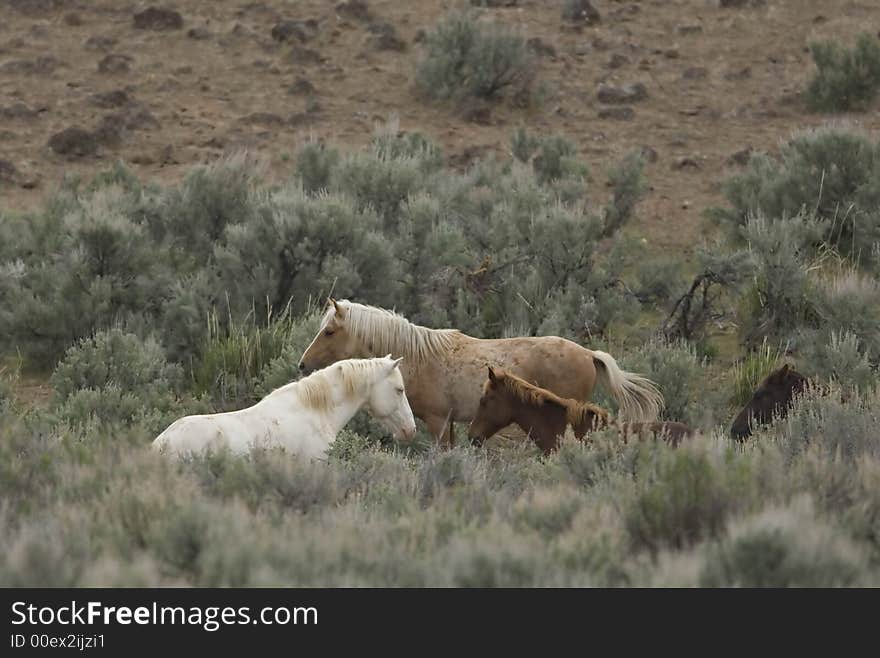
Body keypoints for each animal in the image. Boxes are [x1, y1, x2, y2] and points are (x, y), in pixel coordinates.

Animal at [296, 298, 660, 446]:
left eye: (329, 331)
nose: (302, 364)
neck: (419, 356)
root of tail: (589, 353)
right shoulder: (451, 424)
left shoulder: (438, 422)